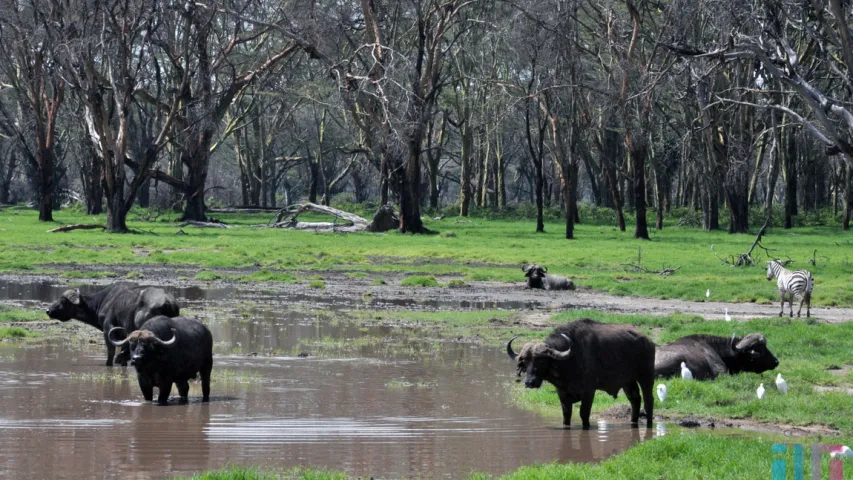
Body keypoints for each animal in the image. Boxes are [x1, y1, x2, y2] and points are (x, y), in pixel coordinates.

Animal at [46, 284, 180, 366]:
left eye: (63, 301)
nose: (48, 310)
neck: (103, 302)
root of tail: (167, 302)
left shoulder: (108, 331)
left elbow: (111, 352)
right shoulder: (123, 335)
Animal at [506, 320, 652, 430]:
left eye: (541, 361)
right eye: (525, 362)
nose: (529, 382)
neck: (569, 362)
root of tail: (647, 341)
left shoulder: (589, 391)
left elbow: (584, 413)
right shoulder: (562, 392)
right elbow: (566, 413)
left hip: (645, 377)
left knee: (648, 401)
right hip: (628, 382)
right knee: (635, 400)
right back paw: (633, 422)